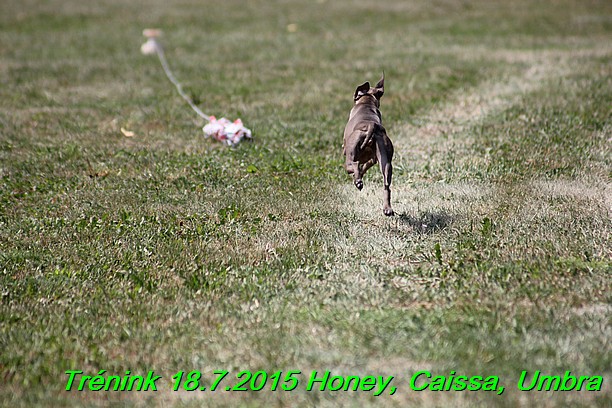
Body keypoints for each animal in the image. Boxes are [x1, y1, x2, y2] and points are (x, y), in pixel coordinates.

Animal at [342, 75, 394, 218]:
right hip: (386, 162)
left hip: (350, 154)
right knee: (386, 186)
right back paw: (387, 209)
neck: (366, 103)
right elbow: (365, 165)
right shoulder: (374, 159)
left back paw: (358, 182)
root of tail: (371, 125)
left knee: (352, 164)